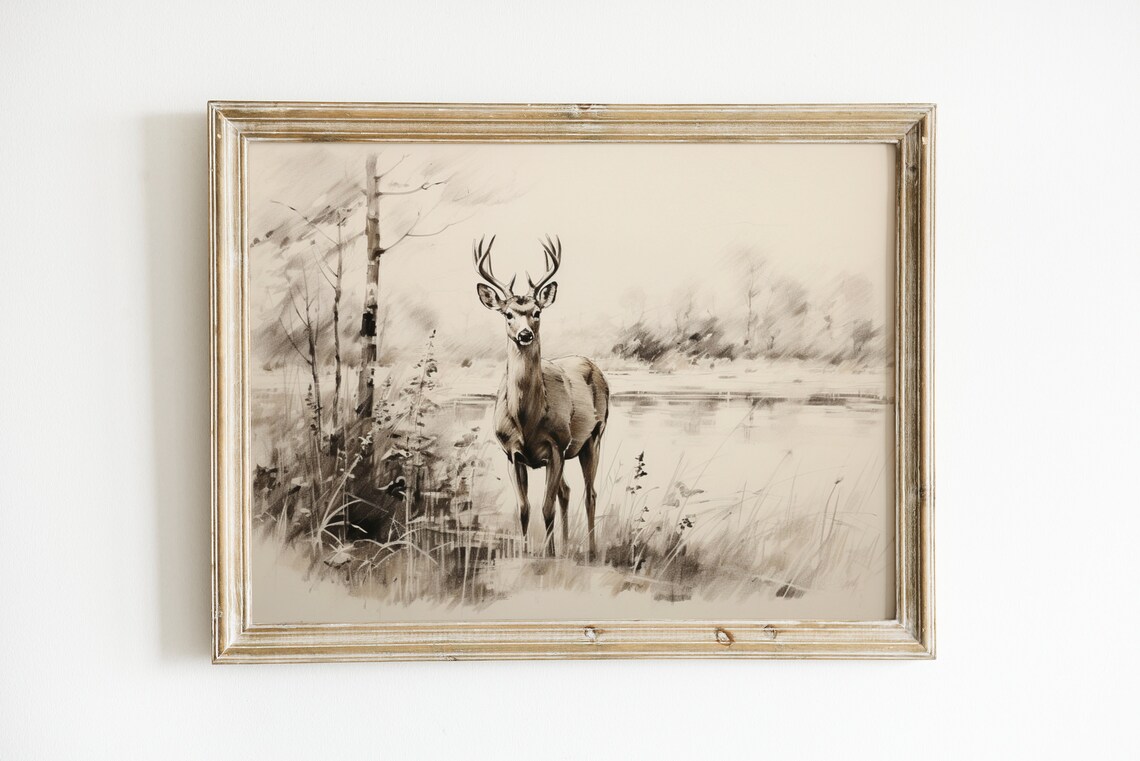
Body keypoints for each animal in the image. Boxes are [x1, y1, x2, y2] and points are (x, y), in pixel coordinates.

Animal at [473, 235, 609, 560]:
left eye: (537, 312)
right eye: (508, 314)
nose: (525, 335)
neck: (527, 421)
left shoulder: (557, 447)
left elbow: (546, 508)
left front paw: (547, 555)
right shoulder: (512, 453)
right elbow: (524, 509)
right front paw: (527, 553)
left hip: (594, 437)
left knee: (589, 493)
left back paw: (591, 551)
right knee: (567, 492)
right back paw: (567, 545)